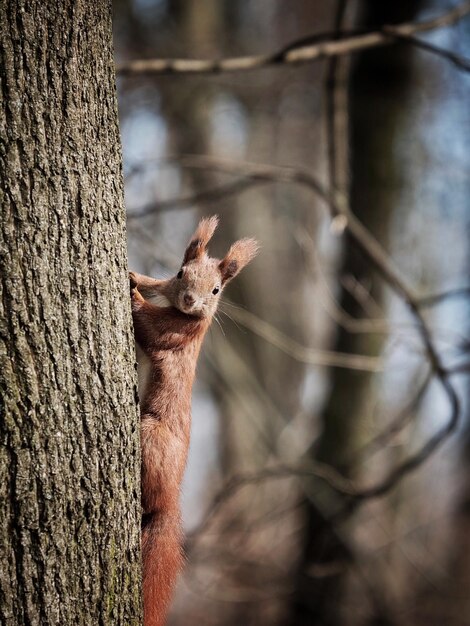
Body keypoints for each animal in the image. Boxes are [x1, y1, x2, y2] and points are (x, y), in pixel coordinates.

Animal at [129, 216, 258, 624]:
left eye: (216, 289)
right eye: (181, 272)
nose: (189, 300)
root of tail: (172, 499)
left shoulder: (179, 333)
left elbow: (150, 328)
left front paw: (131, 291)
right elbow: (153, 284)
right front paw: (135, 276)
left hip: (151, 436)